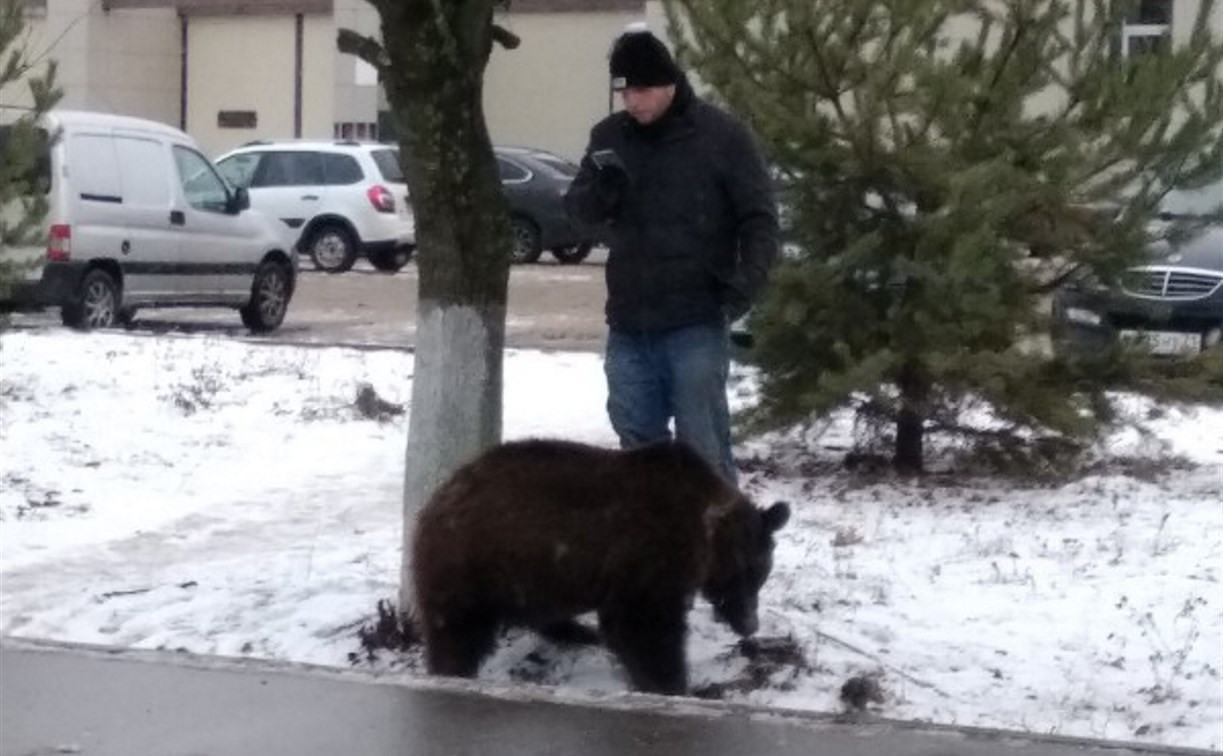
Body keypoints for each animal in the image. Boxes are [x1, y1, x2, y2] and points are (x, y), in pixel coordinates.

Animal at [410, 435, 792, 694]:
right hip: (472, 563)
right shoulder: (646, 554)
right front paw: (672, 685)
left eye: (762, 573)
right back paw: (453, 670)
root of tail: (436, 498)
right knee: (457, 629)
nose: (750, 624)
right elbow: (643, 627)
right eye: (743, 572)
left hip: (532, 572)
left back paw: (578, 631)